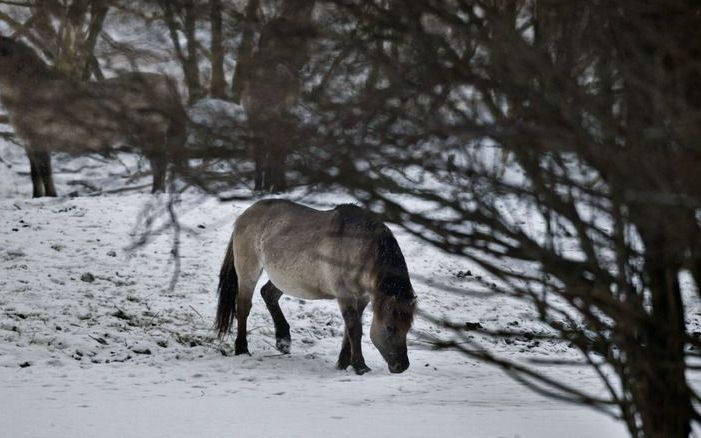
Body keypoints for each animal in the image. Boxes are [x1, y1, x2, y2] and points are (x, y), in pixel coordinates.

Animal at [0, 36, 186, 197]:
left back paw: (157, 192)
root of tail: (167, 83)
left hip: (151, 135)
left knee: (159, 164)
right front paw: (37, 197)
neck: (30, 90)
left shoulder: (39, 140)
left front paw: (51, 196)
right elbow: (35, 173)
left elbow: (45, 172)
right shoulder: (28, 142)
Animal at [215, 200, 416, 374]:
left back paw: (283, 341)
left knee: (268, 294)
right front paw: (360, 367)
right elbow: (354, 329)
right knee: (243, 307)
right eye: (390, 327)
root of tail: (245, 214)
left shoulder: (363, 298)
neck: (361, 248)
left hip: (284, 278)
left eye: (408, 328)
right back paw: (242, 349)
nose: (402, 366)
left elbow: (349, 331)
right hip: (248, 272)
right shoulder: (345, 296)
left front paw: (343, 364)